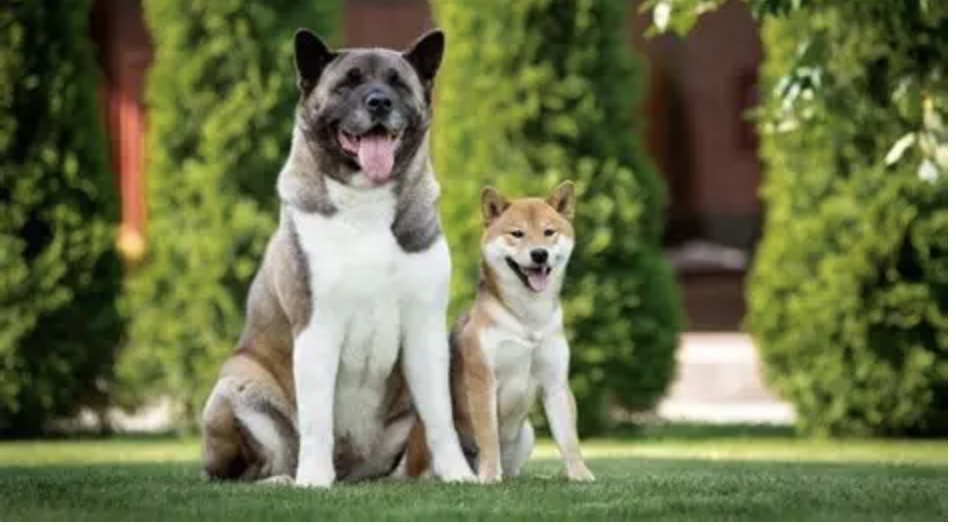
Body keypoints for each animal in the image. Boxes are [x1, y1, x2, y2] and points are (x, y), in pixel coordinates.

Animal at [403, 181, 595, 483]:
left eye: (549, 232)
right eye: (517, 233)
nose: (539, 253)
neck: (527, 319)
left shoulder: (555, 382)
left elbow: (568, 439)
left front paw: (579, 474)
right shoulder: (483, 379)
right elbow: (488, 435)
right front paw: (490, 476)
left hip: (527, 434)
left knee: (515, 468)